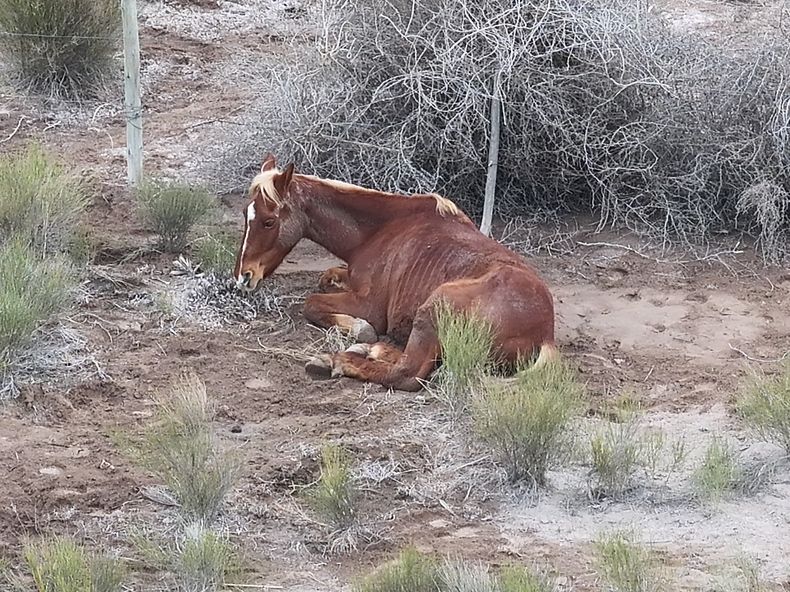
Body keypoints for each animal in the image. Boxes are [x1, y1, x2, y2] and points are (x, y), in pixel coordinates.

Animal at [233, 154, 557, 392]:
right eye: (247, 214)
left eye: (269, 221)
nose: (243, 277)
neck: (379, 231)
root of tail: (545, 335)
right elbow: (327, 277)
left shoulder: (370, 306)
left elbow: (312, 304)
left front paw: (358, 328)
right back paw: (371, 350)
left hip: (435, 305)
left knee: (407, 374)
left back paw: (336, 360)